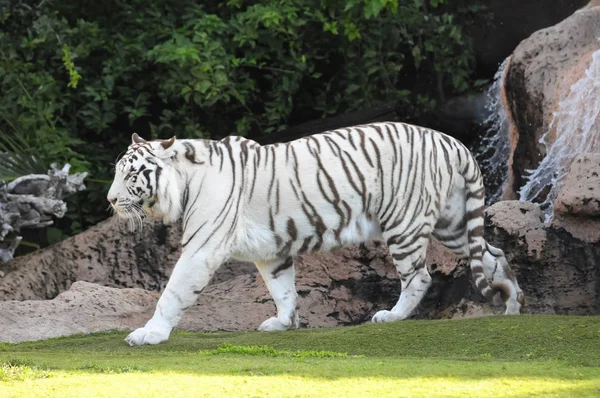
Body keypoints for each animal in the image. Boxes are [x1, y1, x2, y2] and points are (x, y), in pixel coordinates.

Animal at [108, 121, 524, 346]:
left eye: (132, 175)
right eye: (116, 172)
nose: (110, 199)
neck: (184, 181)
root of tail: (452, 142)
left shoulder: (201, 248)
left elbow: (173, 293)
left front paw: (148, 334)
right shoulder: (270, 252)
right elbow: (283, 289)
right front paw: (282, 323)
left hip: (404, 223)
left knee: (419, 276)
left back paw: (391, 316)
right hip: (452, 222)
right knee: (493, 254)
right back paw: (512, 305)